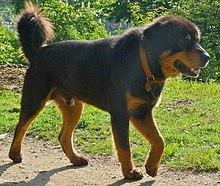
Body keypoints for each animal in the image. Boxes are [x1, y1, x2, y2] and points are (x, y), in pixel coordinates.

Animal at [9, 1, 210, 179]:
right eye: (184, 40)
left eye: (197, 40)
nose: (207, 57)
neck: (143, 64)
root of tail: (37, 53)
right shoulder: (121, 114)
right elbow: (124, 147)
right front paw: (129, 172)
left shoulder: (141, 112)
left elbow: (159, 140)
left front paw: (151, 166)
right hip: (35, 100)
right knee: (20, 127)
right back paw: (15, 154)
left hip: (74, 107)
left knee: (63, 137)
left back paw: (75, 159)